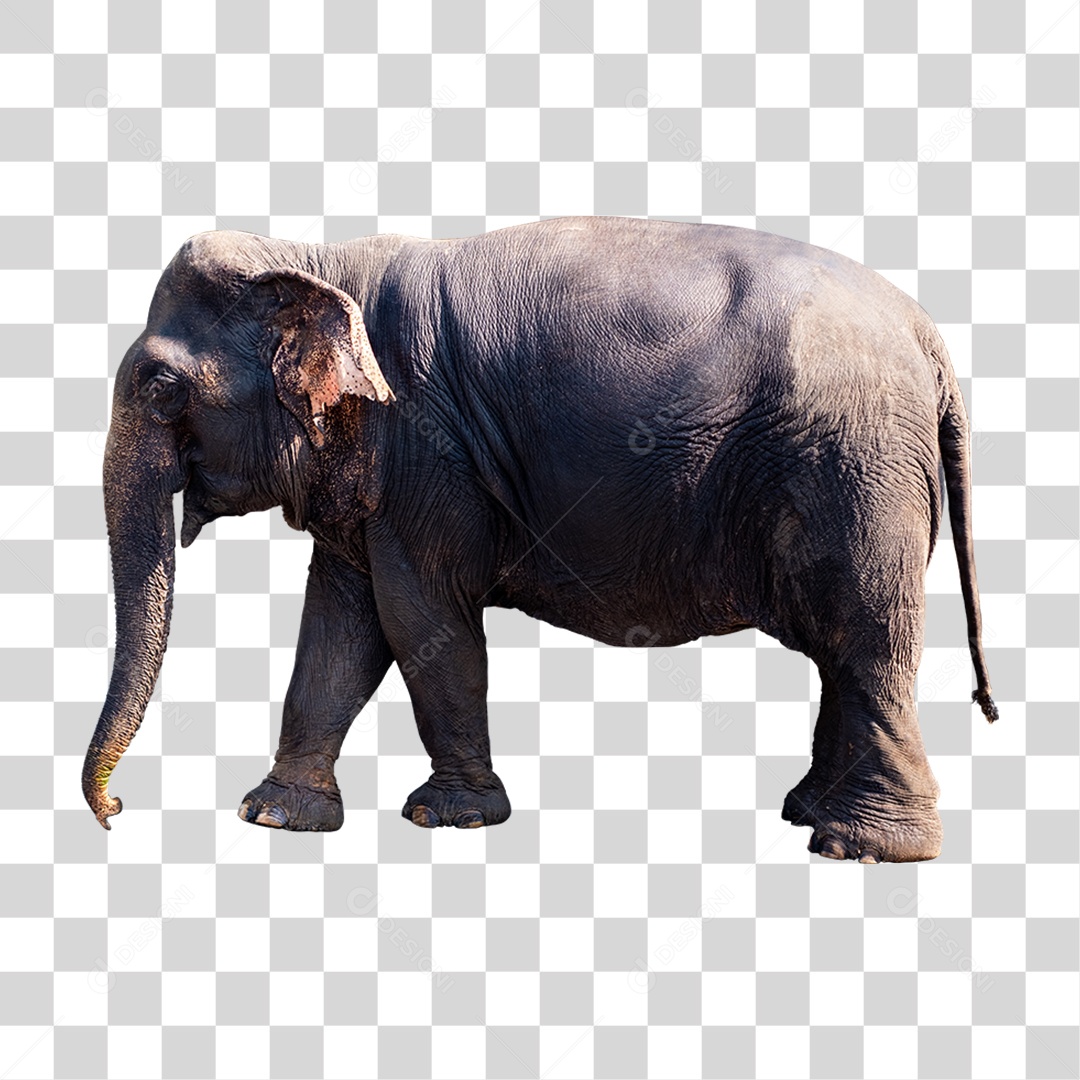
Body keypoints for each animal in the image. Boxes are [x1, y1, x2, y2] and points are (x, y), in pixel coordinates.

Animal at [83, 215, 997, 863]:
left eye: (161, 389)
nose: (116, 812)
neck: (318, 259)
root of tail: (931, 341)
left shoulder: (427, 453)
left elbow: (421, 619)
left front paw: (447, 818)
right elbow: (340, 623)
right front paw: (274, 816)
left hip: (855, 473)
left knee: (865, 637)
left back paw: (860, 848)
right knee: (845, 651)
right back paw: (811, 815)